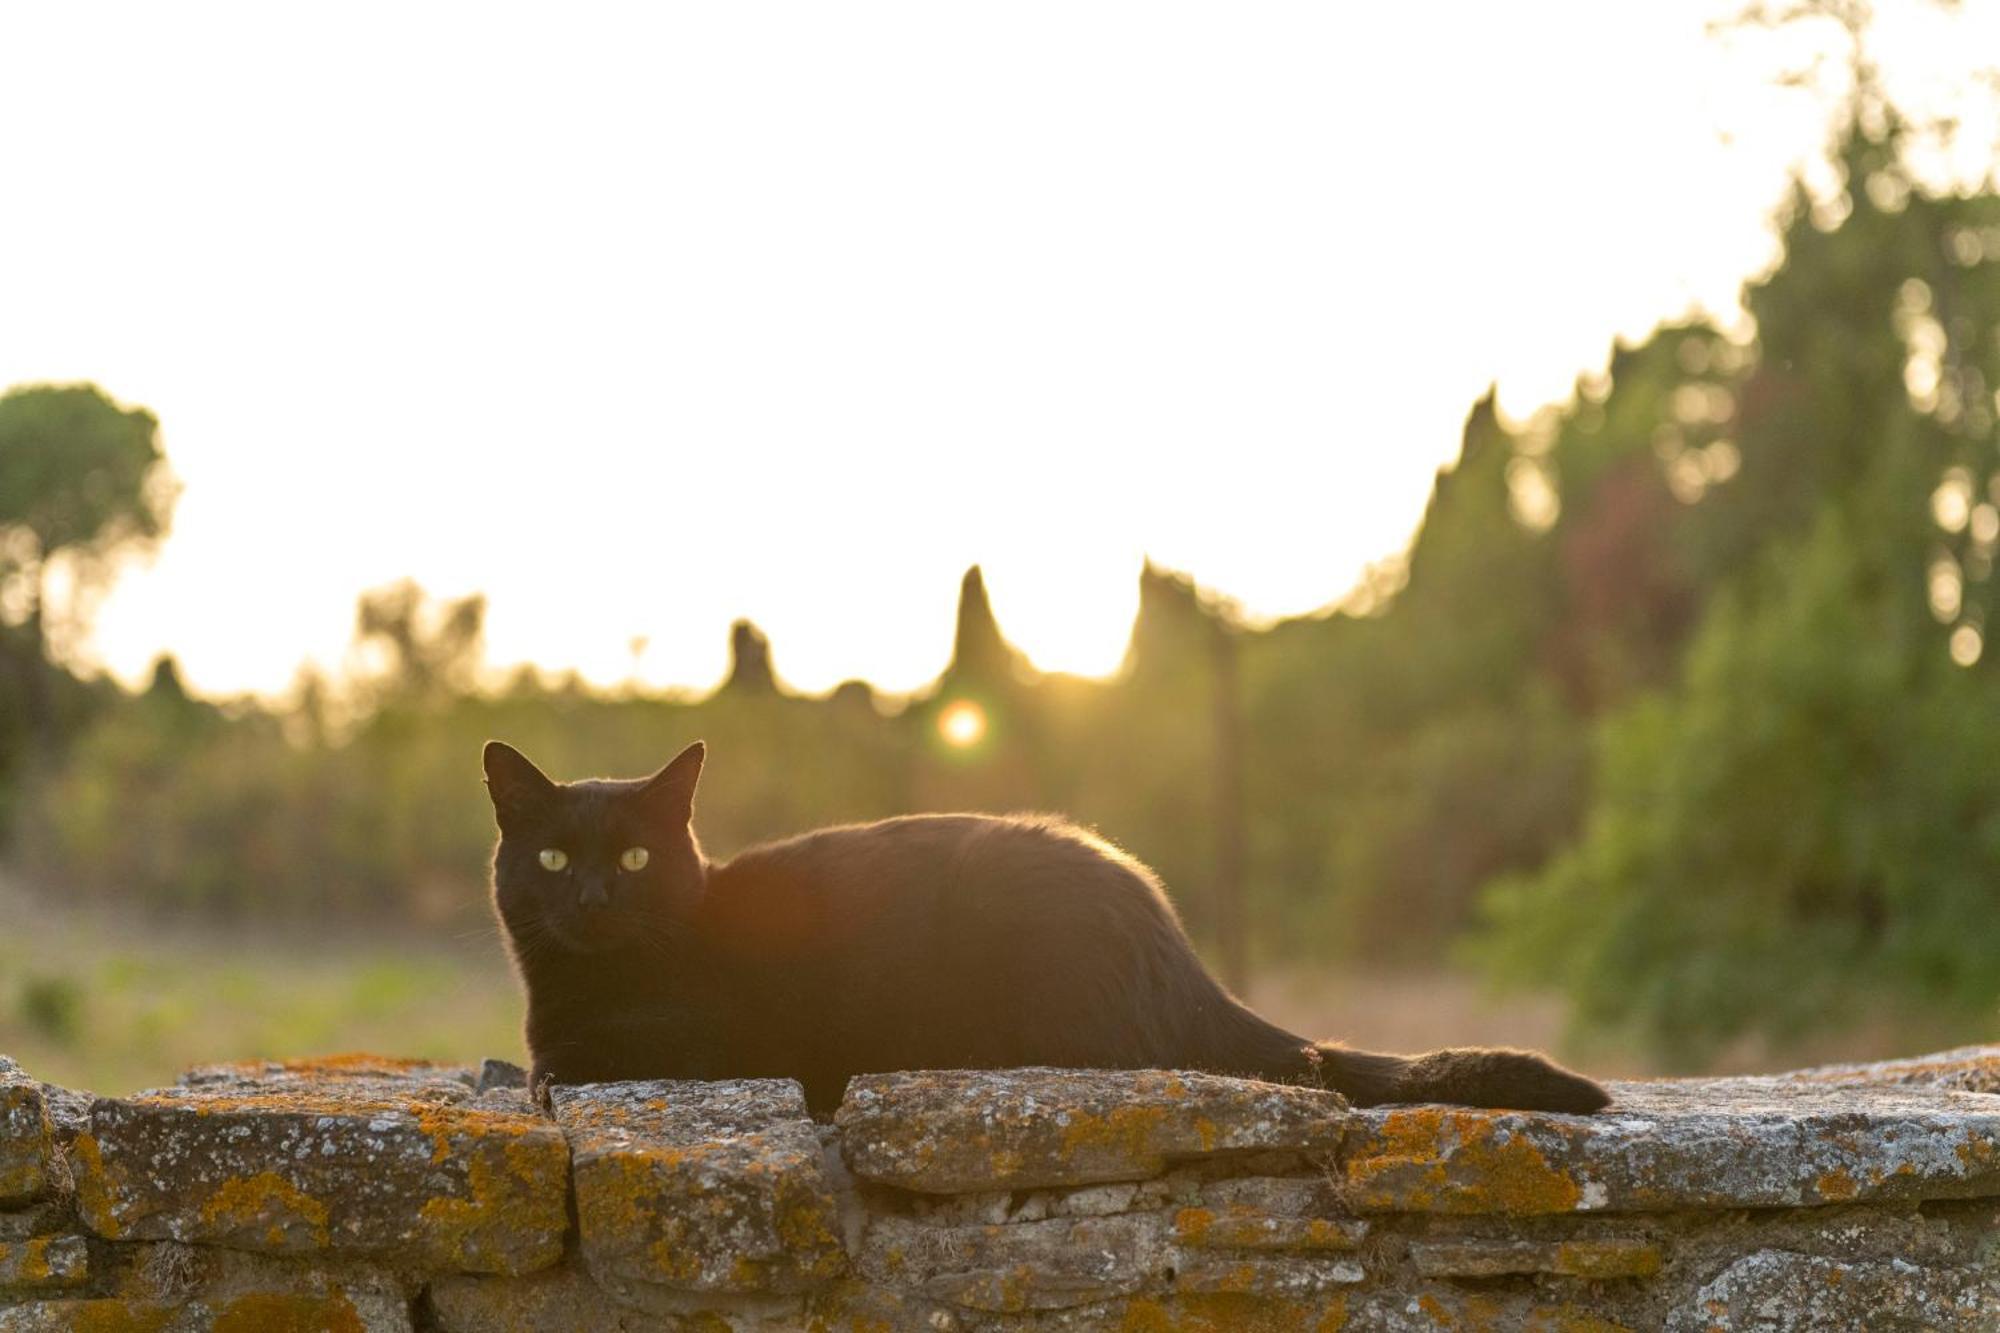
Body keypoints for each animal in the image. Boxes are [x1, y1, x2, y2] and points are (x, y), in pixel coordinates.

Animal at [484, 736, 1608, 1112]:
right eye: (554, 860)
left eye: (635, 860)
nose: (593, 900)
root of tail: (1178, 948)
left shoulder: (715, 1036)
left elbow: (569, 1060)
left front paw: (537, 1069)